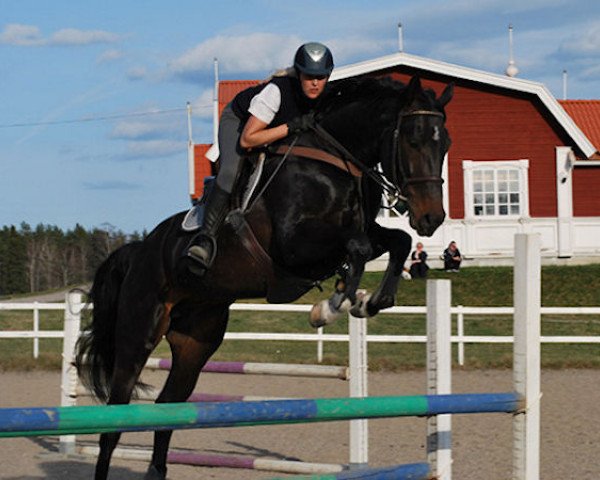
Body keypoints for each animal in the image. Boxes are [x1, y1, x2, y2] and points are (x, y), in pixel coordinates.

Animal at [74, 75, 450, 480]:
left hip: (196, 342)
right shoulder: (295, 247)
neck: (335, 163)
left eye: (445, 143)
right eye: (413, 139)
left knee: (169, 407)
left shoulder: (359, 231)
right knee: (114, 422)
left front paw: (369, 302)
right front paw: (331, 305)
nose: (431, 218)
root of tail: (139, 250)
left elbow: (396, 241)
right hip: (138, 333)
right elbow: (359, 247)